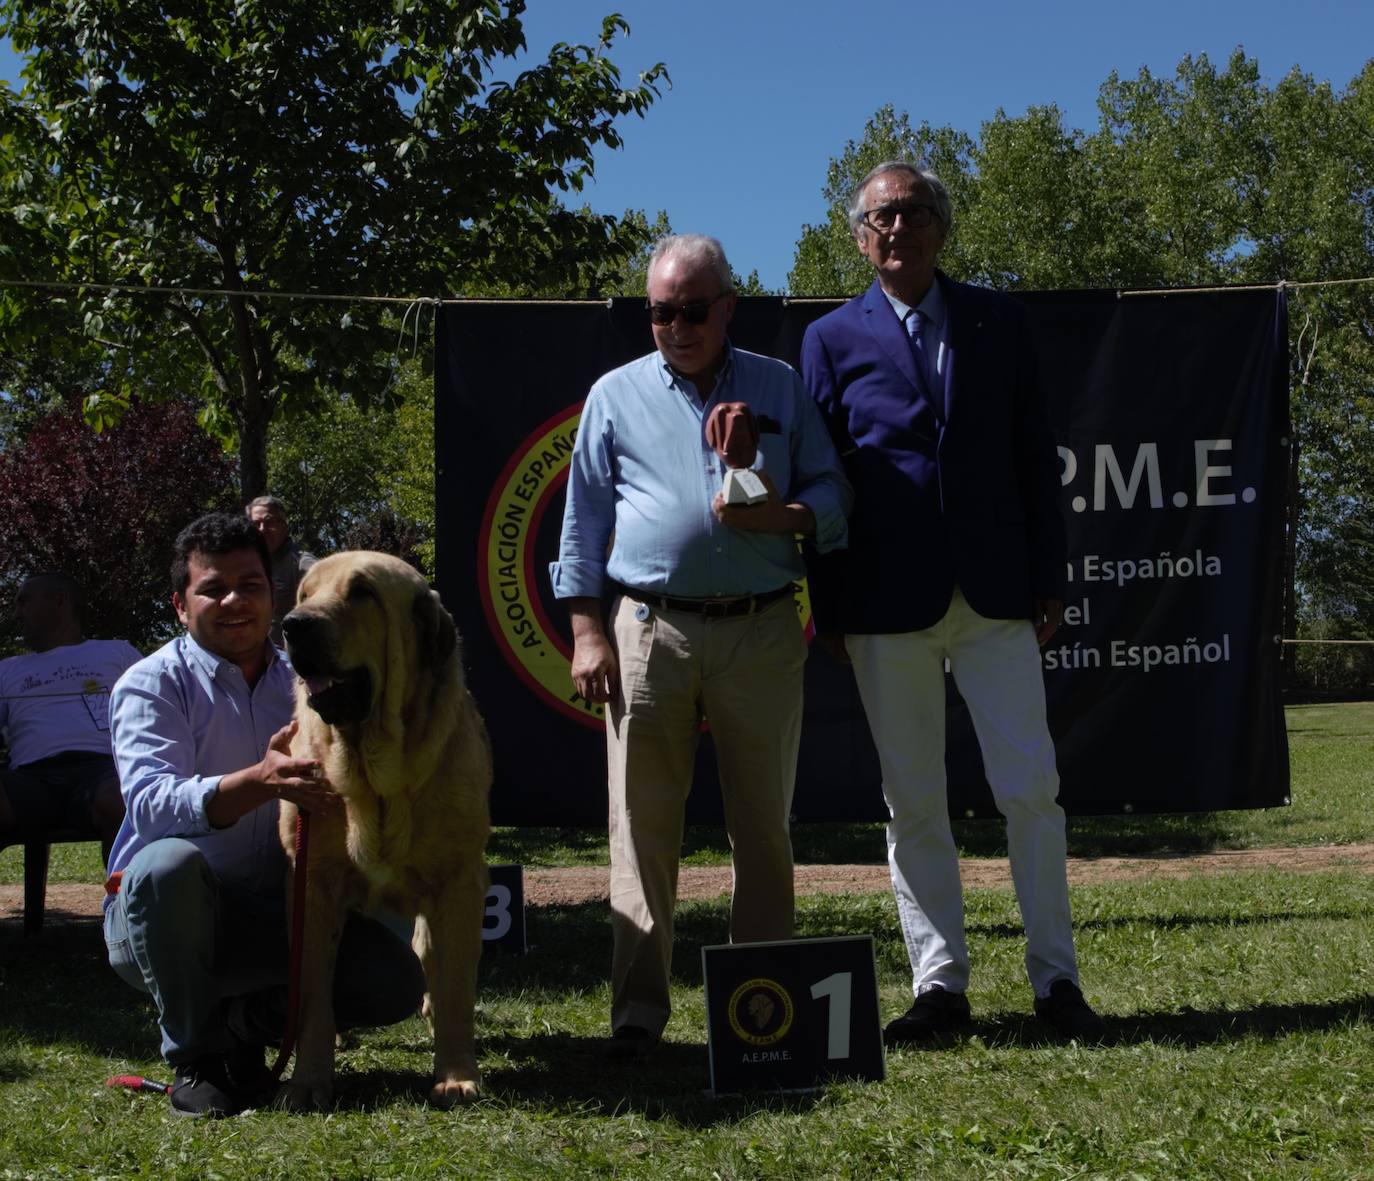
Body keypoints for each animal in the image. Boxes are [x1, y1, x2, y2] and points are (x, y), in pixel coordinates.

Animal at [272, 552, 489, 1109]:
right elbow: (313, 993)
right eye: (305, 594)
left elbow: (456, 984)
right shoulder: (312, 886)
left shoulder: (459, 883)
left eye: (362, 593)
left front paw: (456, 1075)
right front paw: (307, 1080)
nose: (293, 625)